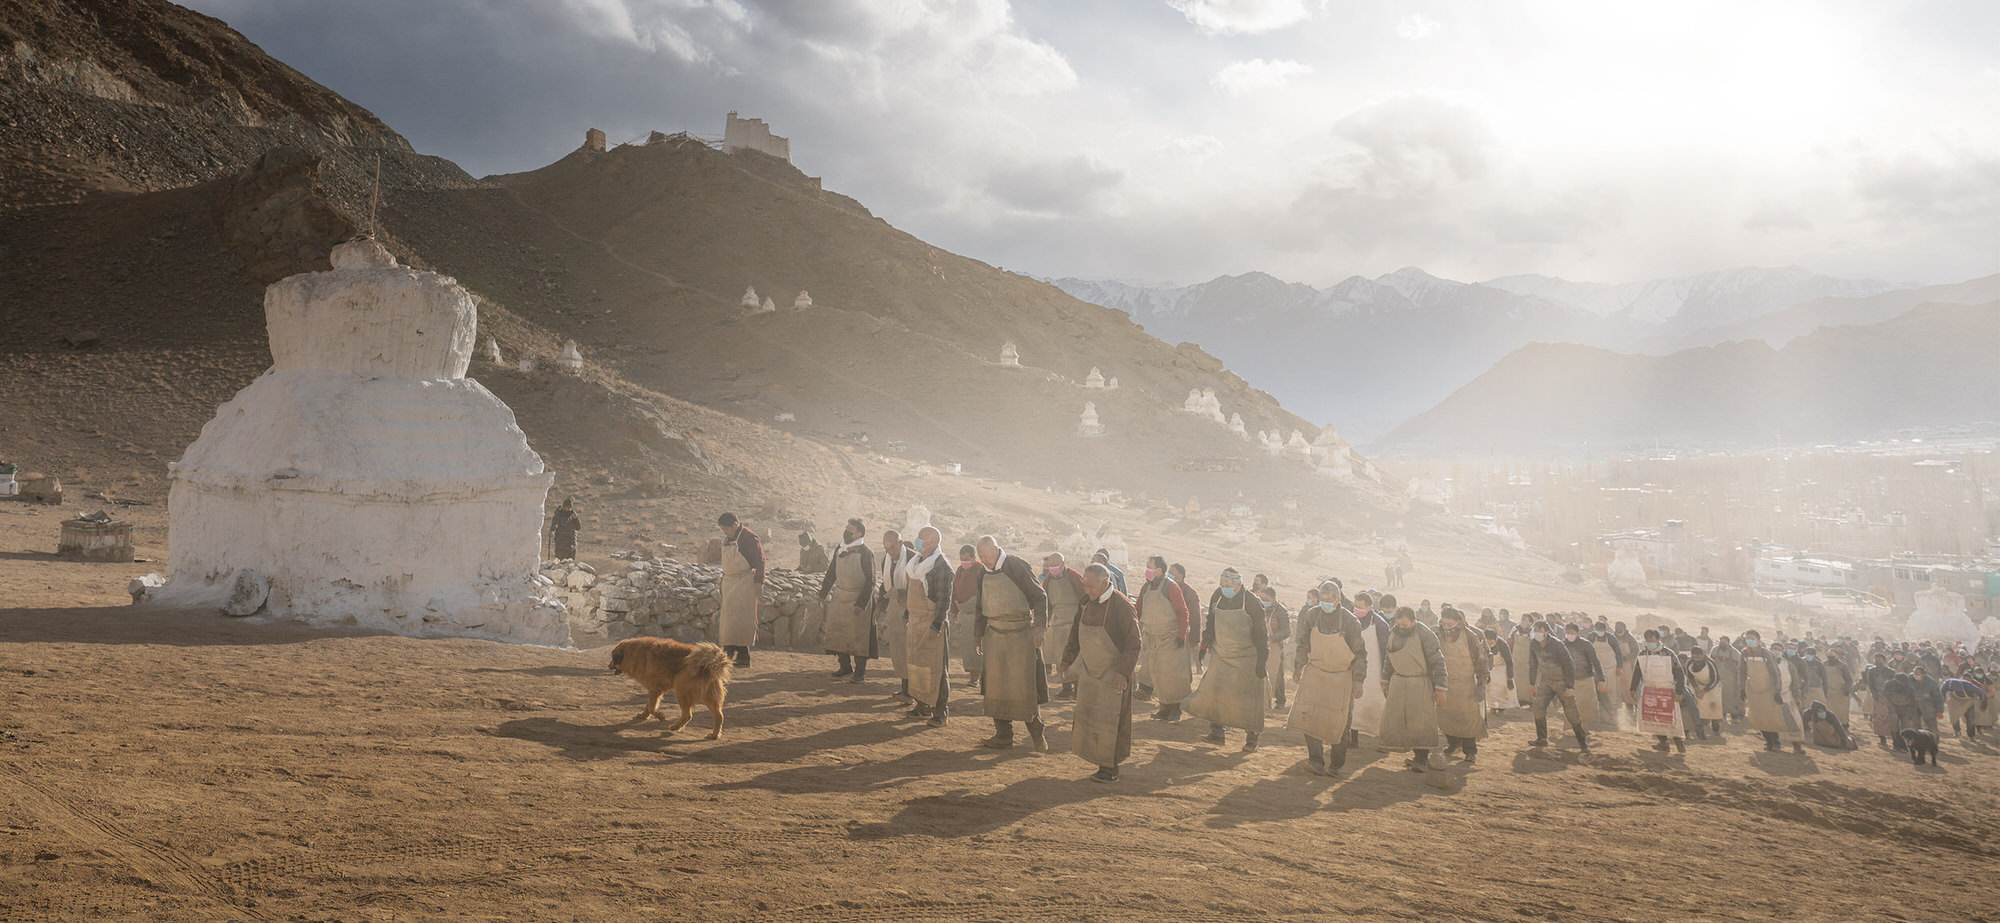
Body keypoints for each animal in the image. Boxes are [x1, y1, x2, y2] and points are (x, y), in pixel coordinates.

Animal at [612, 639, 740, 739]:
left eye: (612, 659)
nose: (608, 666)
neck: (635, 654)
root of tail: (707, 664)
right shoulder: (653, 690)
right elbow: (648, 706)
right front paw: (644, 715)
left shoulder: (655, 689)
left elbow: (652, 707)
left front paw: (659, 716)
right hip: (709, 697)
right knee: (719, 717)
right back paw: (714, 735)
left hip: (681, 691)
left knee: (688, 715)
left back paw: (674, 727)